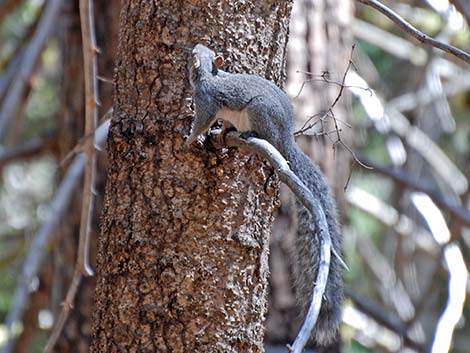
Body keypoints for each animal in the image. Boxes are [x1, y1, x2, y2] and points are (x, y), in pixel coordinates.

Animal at [185, 44, 344, 346]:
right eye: (201, 49)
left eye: (194, 55)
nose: (192, 47)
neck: (210, 76)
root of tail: (285, 138)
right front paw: (217, 133)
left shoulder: (206, 102)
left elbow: (202, 121)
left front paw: (188, 138)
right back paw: (229, 133)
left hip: (259, 111)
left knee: (264, 134)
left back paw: (249, 133)